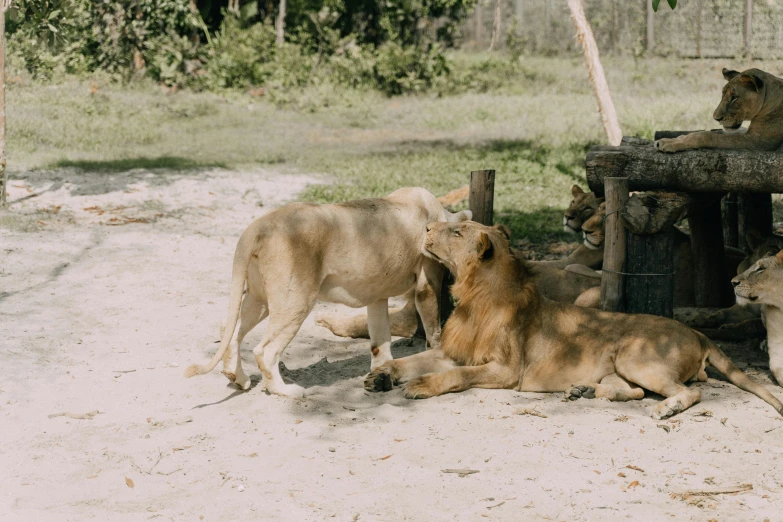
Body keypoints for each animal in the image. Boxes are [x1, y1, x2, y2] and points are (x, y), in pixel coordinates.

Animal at [185, 187, 472, 394]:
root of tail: (259, 226)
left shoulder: (377, 295)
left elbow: (380, 342)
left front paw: (382, 375)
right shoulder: (427, 281)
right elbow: (433, 329)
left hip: (260, 298)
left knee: (229, 330)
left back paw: (238, 378)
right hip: (295, 300)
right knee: (264, 351)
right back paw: (286, 392)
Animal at [368, 219, 783, 418]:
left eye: (456, 231)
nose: (425, 229)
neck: (474, 294)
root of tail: (698, 334)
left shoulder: (506, 370)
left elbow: (456, 376)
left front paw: (421, 385)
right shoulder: (454, 351)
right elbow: (411, 359)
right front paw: (381, 375)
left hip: (637, 356)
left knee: (690, 392)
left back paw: (666, 409)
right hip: (623, 367)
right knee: (632, 391)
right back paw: (582, 391)